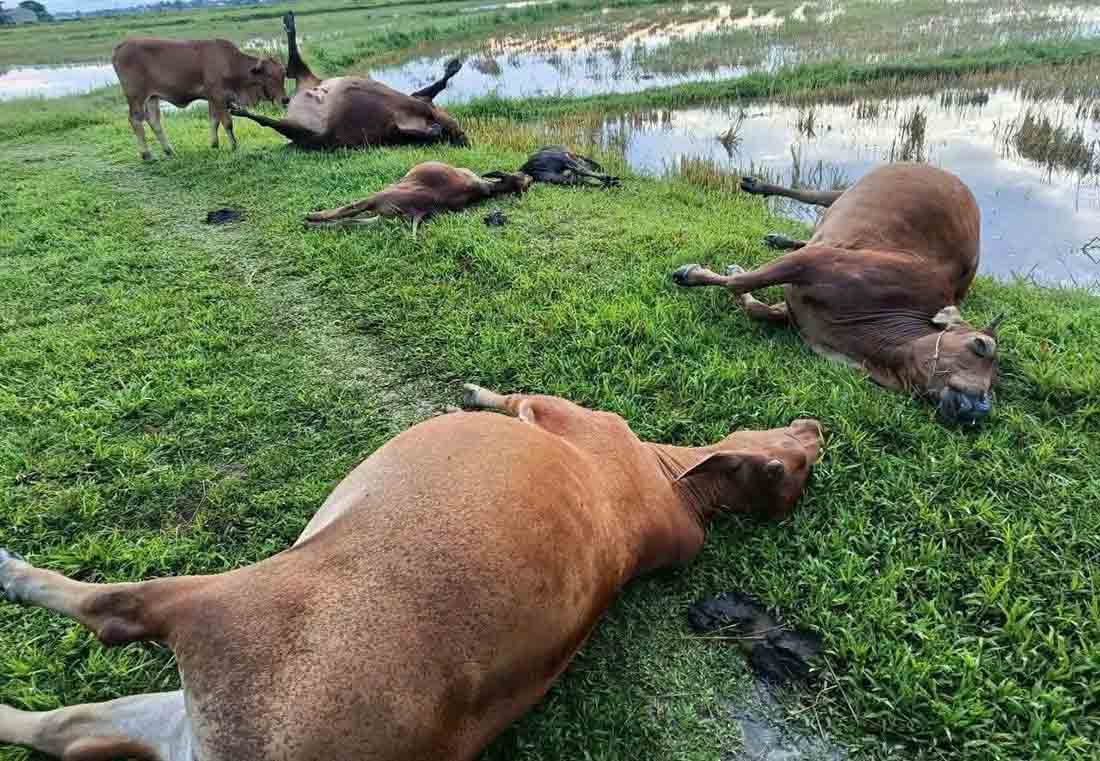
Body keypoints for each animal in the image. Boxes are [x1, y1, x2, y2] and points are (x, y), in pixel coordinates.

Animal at [0, 385, 822, 761]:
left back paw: (13, 570)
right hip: (166, 716)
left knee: (114, 611)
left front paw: (476, 391)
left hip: (221, 606)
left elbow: (512, 395)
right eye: (801, 459)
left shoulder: (562, 411)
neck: (673, 486)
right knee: (56, 730)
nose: (818, 424)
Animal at [112, 38, 288, 161]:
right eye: (269, 75)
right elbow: (227, 123)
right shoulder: (218, 96)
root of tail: (121, 46)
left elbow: (214, 121)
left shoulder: (213, 99)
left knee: (154, 121)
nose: (285, 99)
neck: (231, 64)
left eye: (283, 74)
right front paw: (234, 146)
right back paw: (146, 154)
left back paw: (169, 151)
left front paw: (214, 144)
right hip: (136, 96)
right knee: (135, 120)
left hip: (152, 98)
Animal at [229, 12, 468, 150]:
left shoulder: (399, 127)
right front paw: (453, 67)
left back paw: (240, 109)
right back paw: (289, 22)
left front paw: (436, 131)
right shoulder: (419, 100)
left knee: (272, 119)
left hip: (309, 131)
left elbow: (426, 131)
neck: (426, 114)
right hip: (310, 84)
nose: (464, 138)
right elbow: (438, 86)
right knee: (293, 63)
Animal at [304, 161, 532, 235]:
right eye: (524, 181)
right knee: (349, 222)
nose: (531, 177)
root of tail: (418, 210)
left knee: (348, 211)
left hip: (377, 200)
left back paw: (311, 218)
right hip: (382, 218)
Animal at [672, 163, 1002, 425]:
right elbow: (739, 283)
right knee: (814, 195)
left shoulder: (796, 302)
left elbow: (756, 305)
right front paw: (691, 273)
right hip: (850, 190)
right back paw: (757, 185)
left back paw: (779, 237)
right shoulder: (819, 261)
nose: (981, 407)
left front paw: (733, 271)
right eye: (981, 345)